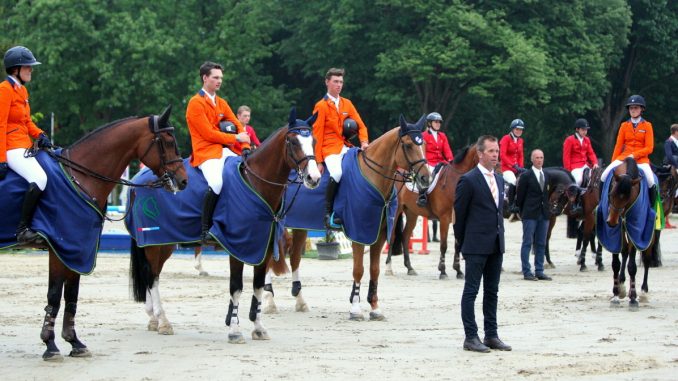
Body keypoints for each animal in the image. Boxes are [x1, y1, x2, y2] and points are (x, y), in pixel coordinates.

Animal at [0, 106, 187, 360]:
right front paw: (50, 345)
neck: (80, 177)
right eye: (167, 142)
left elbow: (71, 295)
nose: (183, 180)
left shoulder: (77, 249)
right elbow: (54, 295)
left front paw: (74, 342)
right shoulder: (60, 249)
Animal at [129, 109, 322, 342]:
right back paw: (162, 320)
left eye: (313, 141)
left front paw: (258, 327)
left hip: (165, 242)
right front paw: (235, 330)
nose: (314, 178)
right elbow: (236, 287)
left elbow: (258, 286)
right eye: (293, 141)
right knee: (152, 277)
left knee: (153, 274)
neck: (256, 182)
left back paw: (153, 319)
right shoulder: (237, 246)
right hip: (154, 242)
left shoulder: (263, 247)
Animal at [264, 115, 430, 318]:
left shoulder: (380, 234)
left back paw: (300, 301)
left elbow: (374, 270)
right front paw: (356, 308)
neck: (372, 177)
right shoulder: (359, 232)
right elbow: (358, 270)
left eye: (423, 145)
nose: (425, 178)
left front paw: (375, 307)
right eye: (408, 145)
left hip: (300, 226)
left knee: (295, 258)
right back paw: (269, 301)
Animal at [386, 144, 480, 278]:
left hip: (412, 214)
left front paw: (458, 270)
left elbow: (457, 244)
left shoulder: (457, 219)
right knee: (392, 236)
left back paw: (410, 268)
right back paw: (389, 268)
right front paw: (443, 271)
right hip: (397, 211)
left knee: (405, 236)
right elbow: (444, 245)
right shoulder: (444, 219)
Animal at [600, 157, 660, 308]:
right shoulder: (616, 231)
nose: (611, 221)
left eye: (627, 198)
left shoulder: (635, 229)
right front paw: (616, 293)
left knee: (646, 259)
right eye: (610, 194)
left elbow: (632, 266)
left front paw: (633, 297)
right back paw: (621, 284)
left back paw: (643, 292)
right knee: (625, 252)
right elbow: (616, 263)